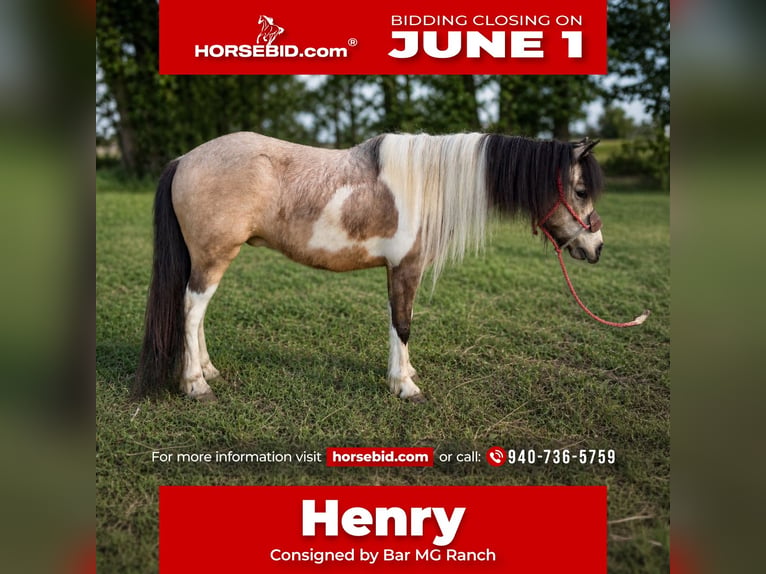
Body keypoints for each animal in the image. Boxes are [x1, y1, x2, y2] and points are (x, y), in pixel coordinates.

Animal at [134, 132, 604, 403]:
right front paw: (406, 387)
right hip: (213, 257)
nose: (597, 247)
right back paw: (196, 385)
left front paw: (404, 375)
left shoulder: (396, 270)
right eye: (580, 190)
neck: (426, 185)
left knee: (195, 313)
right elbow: (403, 324)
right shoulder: (405, 268)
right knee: (191, 309)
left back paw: (207, 370)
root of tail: (184, 159)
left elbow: (398, 324)